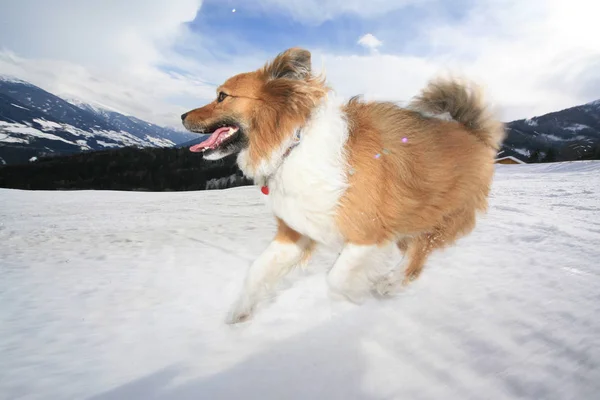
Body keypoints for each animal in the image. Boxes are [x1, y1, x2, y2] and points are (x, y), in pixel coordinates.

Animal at [180, 47, 504, 324]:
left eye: (222, 96)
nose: (182, 115)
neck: (293, 144)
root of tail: (473, 132)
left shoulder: (368, 233)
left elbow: (336, 279)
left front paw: (357, 297)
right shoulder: (295, 232)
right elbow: (258, 270)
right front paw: (240, 311)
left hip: (431, 216)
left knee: (417, 257)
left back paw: (390, 283)